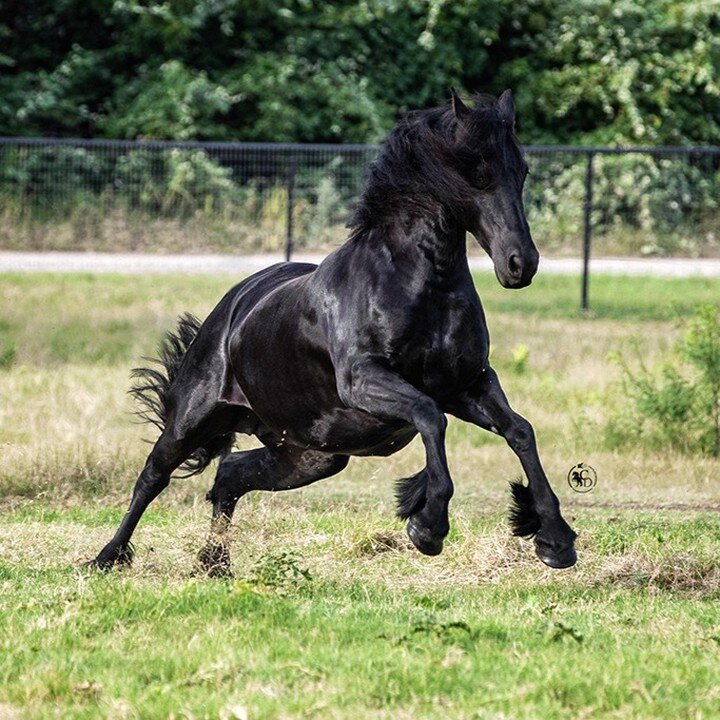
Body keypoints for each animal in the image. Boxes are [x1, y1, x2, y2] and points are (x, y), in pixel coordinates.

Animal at [91, 90, 580, 572]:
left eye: (521, 171)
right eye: (476, 170)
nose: (521, 264)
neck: (422, 284)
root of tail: (233, 305)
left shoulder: (469, 383)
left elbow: (520, 431)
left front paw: (554, 539)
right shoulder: (365, 380)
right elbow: (430, 417)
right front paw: (427, 526)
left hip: (309, 455)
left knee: (231, 475)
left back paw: (215, 566)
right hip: (193, 421)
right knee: (152, 478)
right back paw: (106, 558)